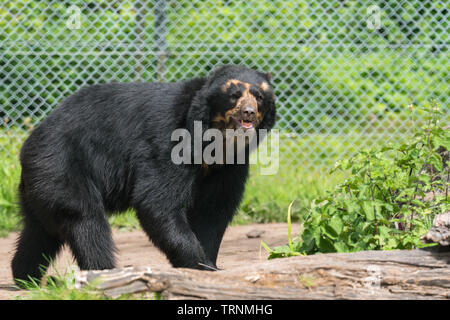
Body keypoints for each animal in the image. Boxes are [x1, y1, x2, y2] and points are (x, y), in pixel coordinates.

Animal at [10, 64, 276, 282]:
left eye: (260, 97)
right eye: (234, 95)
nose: (249, 112)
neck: (218, 140)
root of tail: (28, 146)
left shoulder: (229, 166)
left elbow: (214, 210)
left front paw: (210, 265)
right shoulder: (171, 139)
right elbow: (157, 201)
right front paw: (197, 263)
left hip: (42, 185)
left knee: (40, 231)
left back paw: (26, 276)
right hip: (63, 166)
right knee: (86, 221)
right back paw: (104, 272)